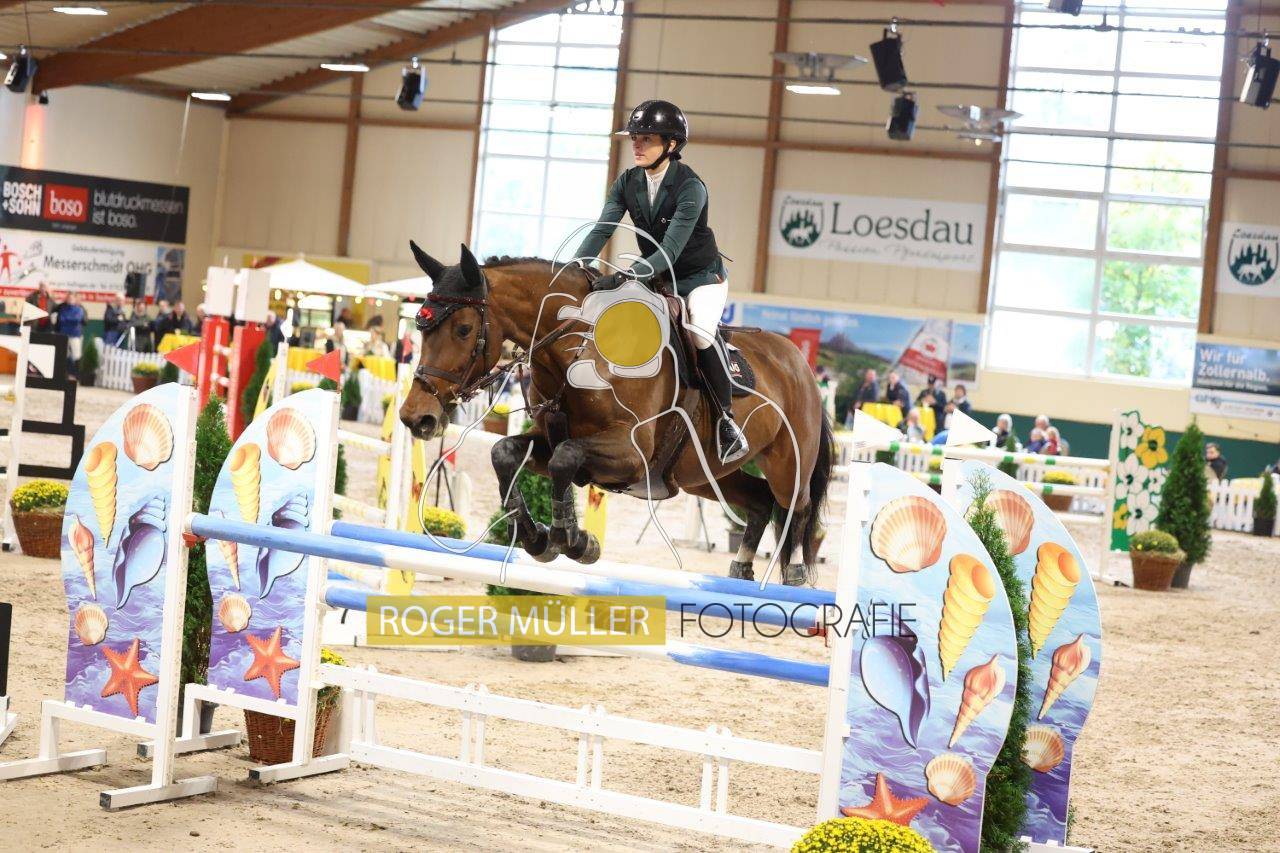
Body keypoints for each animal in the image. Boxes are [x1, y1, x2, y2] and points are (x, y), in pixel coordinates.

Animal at [399, 243, 833, 586]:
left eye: (463, 329)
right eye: (420, 328)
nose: (415, 417)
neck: (577, 350)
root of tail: (799, 363)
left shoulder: (629, 452)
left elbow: (566, 458)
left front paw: (570, 538)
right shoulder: (551, 437)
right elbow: (505, 453)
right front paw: (542, 538)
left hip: (787, 461)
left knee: (796, 506)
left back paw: (795, 573)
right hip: (705, 475)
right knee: (759, 501)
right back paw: (740, 568)